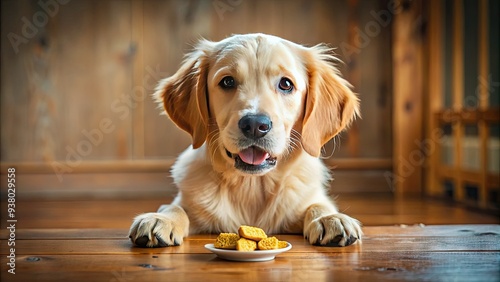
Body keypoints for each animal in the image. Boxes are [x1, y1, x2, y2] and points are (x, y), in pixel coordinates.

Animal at [129, 34, 362, 248]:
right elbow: (174, 207)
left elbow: (318, 204)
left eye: (286, 84)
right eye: (227, 81)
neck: (251, 186)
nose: (255, 125)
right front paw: (160, 219)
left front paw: (330, 218)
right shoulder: (188, 202)